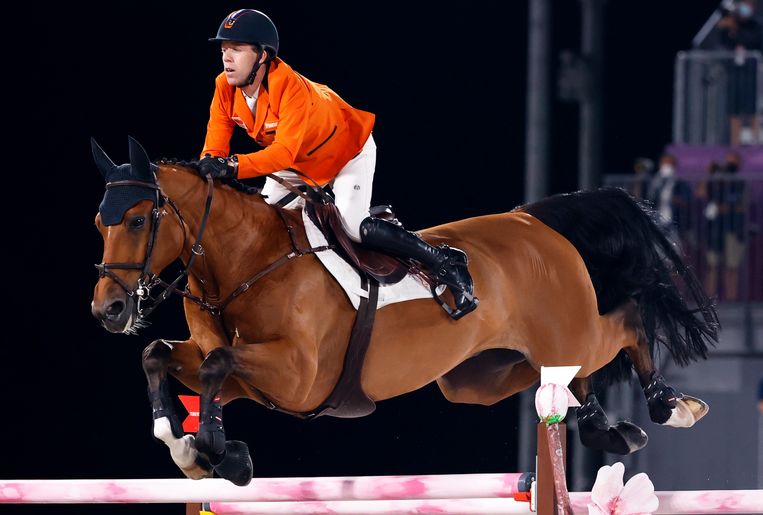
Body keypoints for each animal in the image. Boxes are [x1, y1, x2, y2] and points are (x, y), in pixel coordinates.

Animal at [92, 136, 720, 484]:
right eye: (101, 222)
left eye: (139, 220)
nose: (109, 310)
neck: (249, 260)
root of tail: (532, 219)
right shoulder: (259, 378)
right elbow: (162, 356)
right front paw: (189, 445)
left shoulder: (298, 375)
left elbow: (218, 364)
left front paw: (215, 452)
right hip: (477, 377)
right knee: (556, 378)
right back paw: (603, 428)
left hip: (574, 331)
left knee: (627, 322)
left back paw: (672, 406)